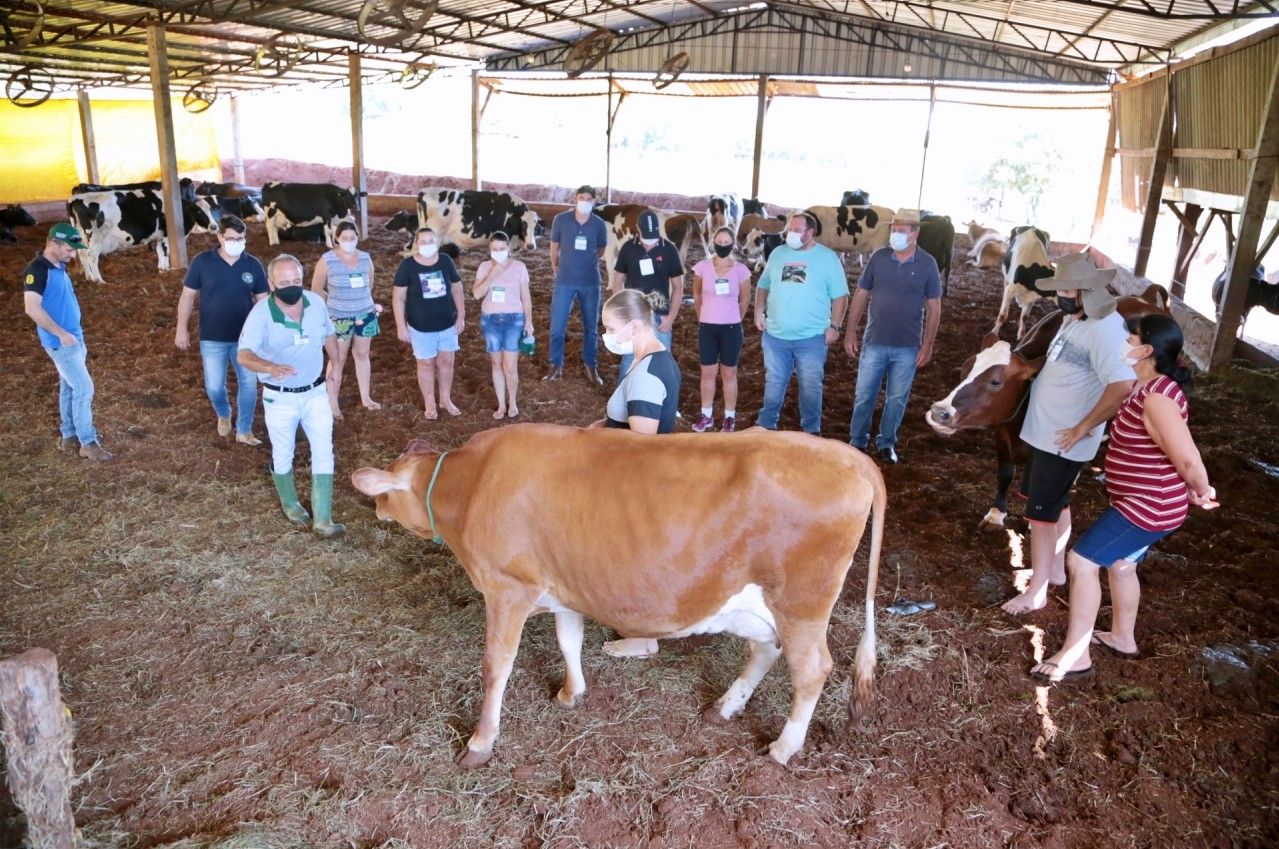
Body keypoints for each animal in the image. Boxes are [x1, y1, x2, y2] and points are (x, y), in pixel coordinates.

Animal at [68, 184, 219, 283]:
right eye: (199, 211)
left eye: (211, 209)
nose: (214, 226)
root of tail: (77, 199)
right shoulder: (166, 235)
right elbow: (165, 251)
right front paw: (167, 269)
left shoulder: (159, 236)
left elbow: (159, 251)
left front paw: (162, 269)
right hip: (97, 237)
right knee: (91, 255)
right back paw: (99, 280)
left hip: (81, 235)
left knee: (82, 253)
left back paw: (89, 277)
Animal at [355, 427, 885, 767]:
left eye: (386, 489)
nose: (376, 508)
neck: (471, 484)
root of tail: (848, 457)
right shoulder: (565, 587)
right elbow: (568, 640)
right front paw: (571, 694)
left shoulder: (507, 588)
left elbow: (495, 668)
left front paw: (480, 743)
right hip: (763, 603)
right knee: (765, 649)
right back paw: (724, 707)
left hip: (802, 604)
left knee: (812, 670)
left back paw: (782, 749)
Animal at [925, 291, 1171, 531]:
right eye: (965, 368)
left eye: (995, 381)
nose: (940, 412)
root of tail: (1146, 300)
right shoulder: (1002, 434)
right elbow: (1005, 473)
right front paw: (996, 515)